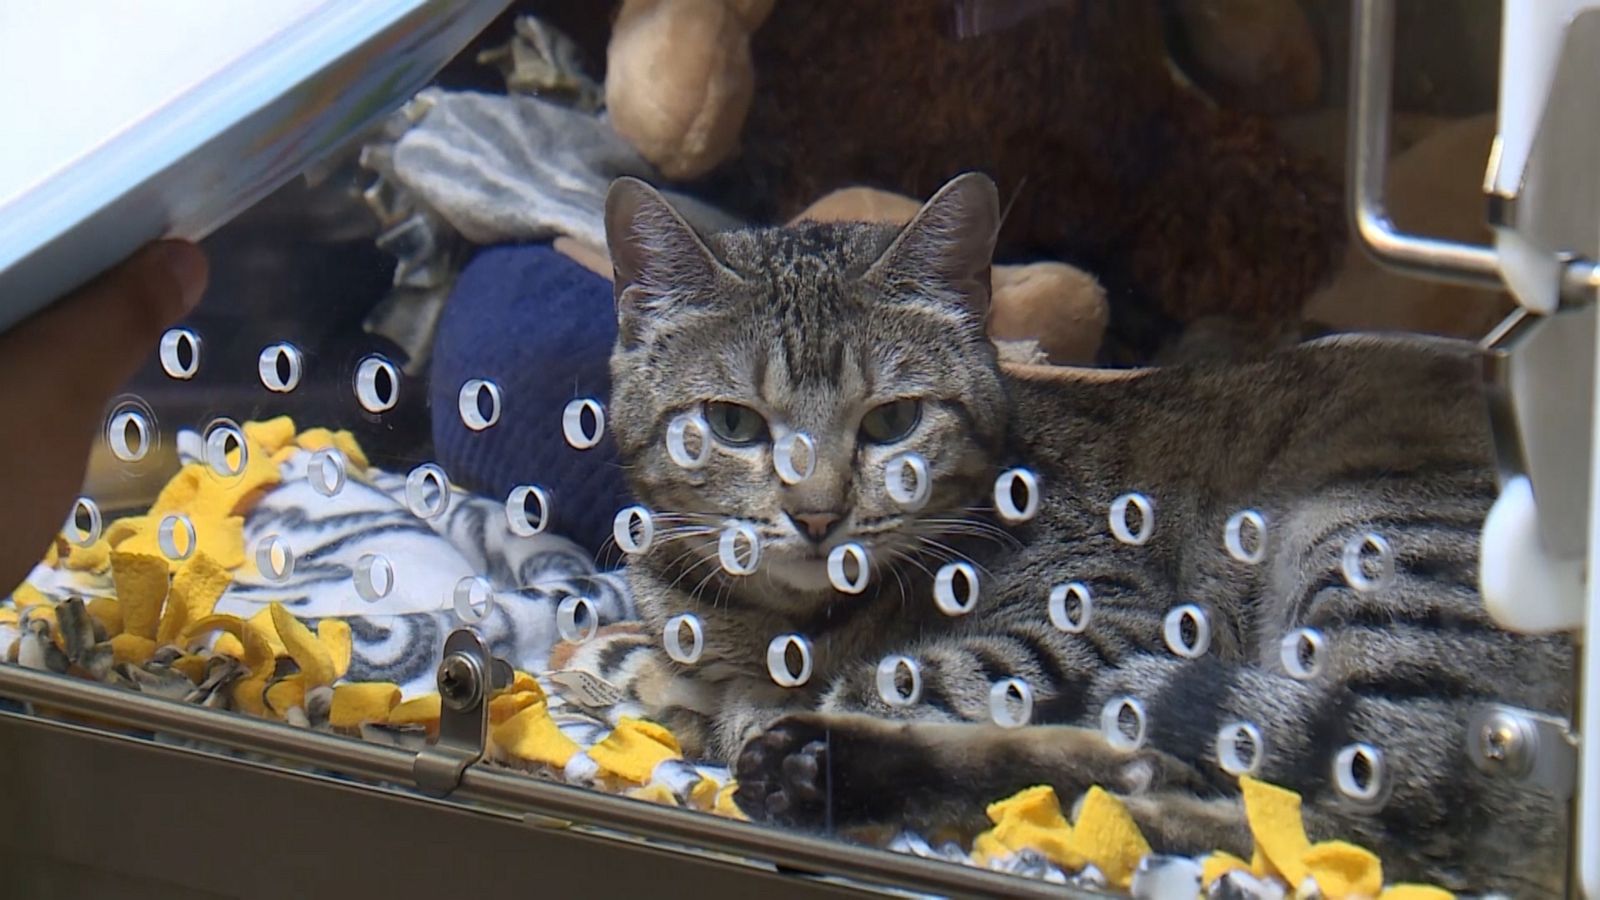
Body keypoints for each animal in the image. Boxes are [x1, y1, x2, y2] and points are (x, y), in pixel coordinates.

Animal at [569, 169, 1568, 890]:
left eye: (893, 422)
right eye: (733, 425)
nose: (817, 514)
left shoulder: (1092, 619)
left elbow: (887, 680)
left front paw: (704, 695)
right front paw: (634, 657)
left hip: (1364, 549)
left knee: (1358, 826)